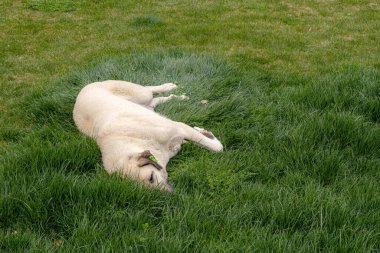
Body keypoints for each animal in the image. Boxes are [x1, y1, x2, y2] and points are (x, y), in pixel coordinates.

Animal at [72, 80, 223, 192]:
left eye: (151, 178)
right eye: (145, 188)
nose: (169, 195)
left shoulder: (180, 128)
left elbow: (216, 147)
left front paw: (208, 135)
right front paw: (205, 132)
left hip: (141, 94)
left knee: (149, 89)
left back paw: (169, 86)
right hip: (146, 105)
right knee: (158, 100)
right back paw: (176, 96)